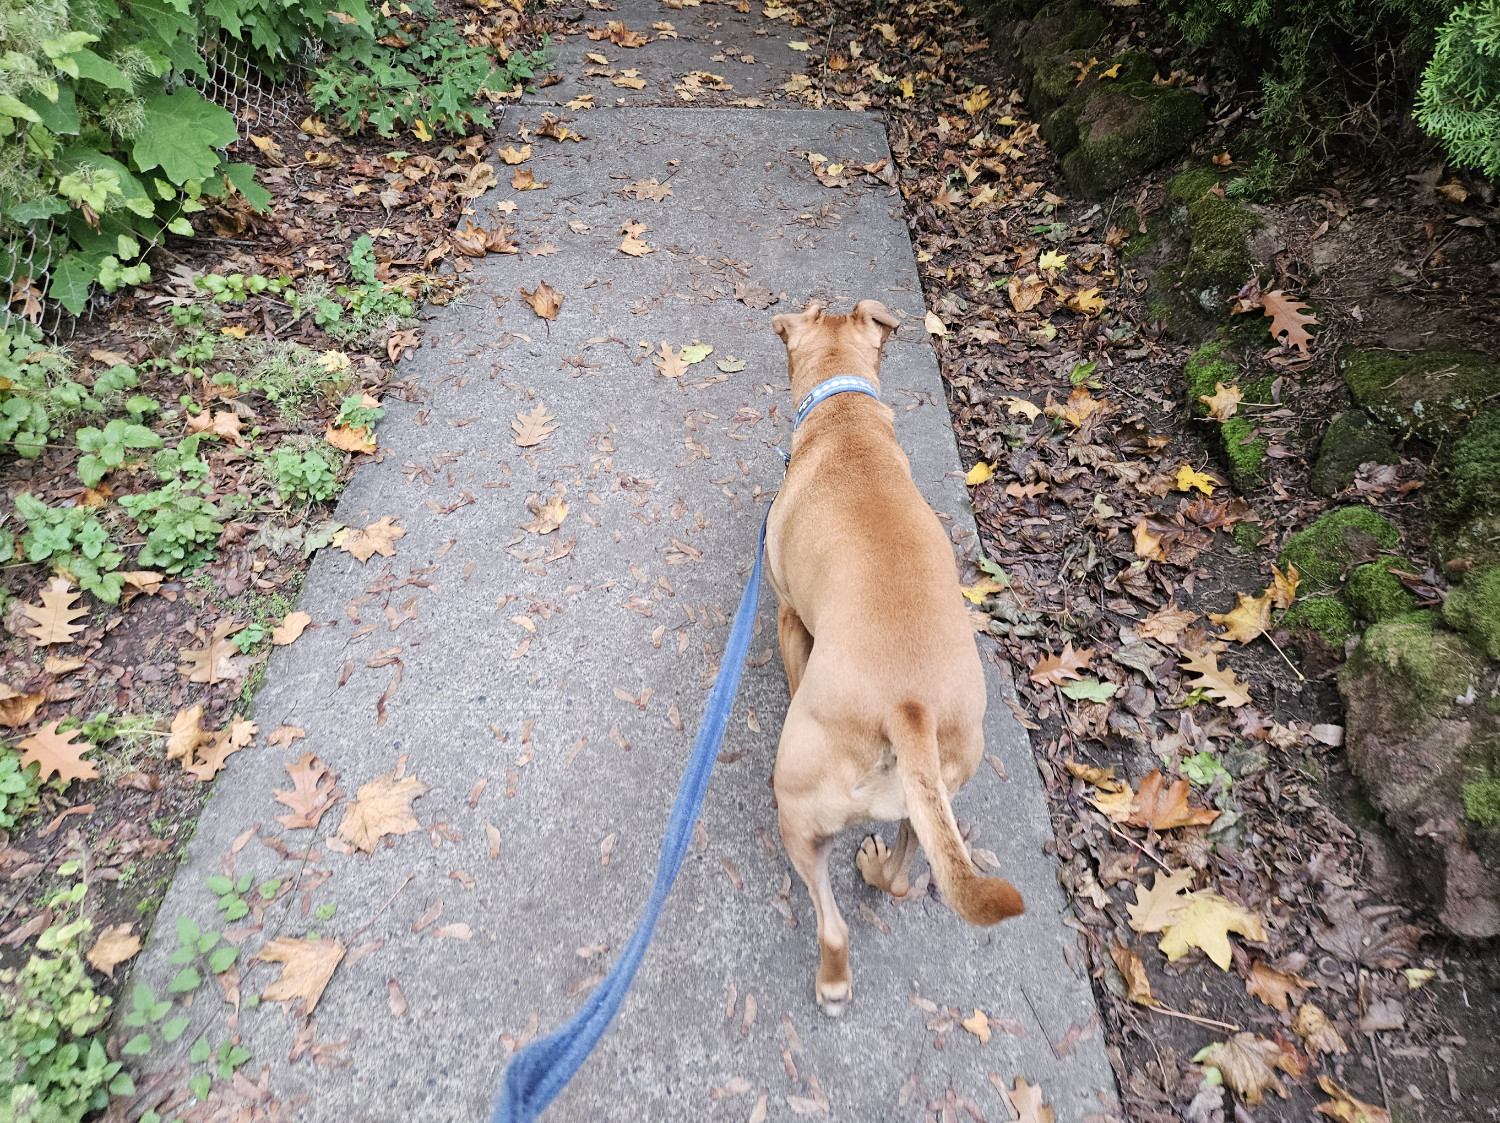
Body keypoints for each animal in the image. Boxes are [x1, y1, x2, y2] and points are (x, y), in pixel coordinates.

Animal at [768, 295, 1026, 1007]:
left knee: (831, 926)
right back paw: (879, 868)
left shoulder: (786, 614)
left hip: (798, 806)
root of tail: (906, 709)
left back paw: (832, 980)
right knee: (908, 872)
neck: (844, 417)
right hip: (931, 797)